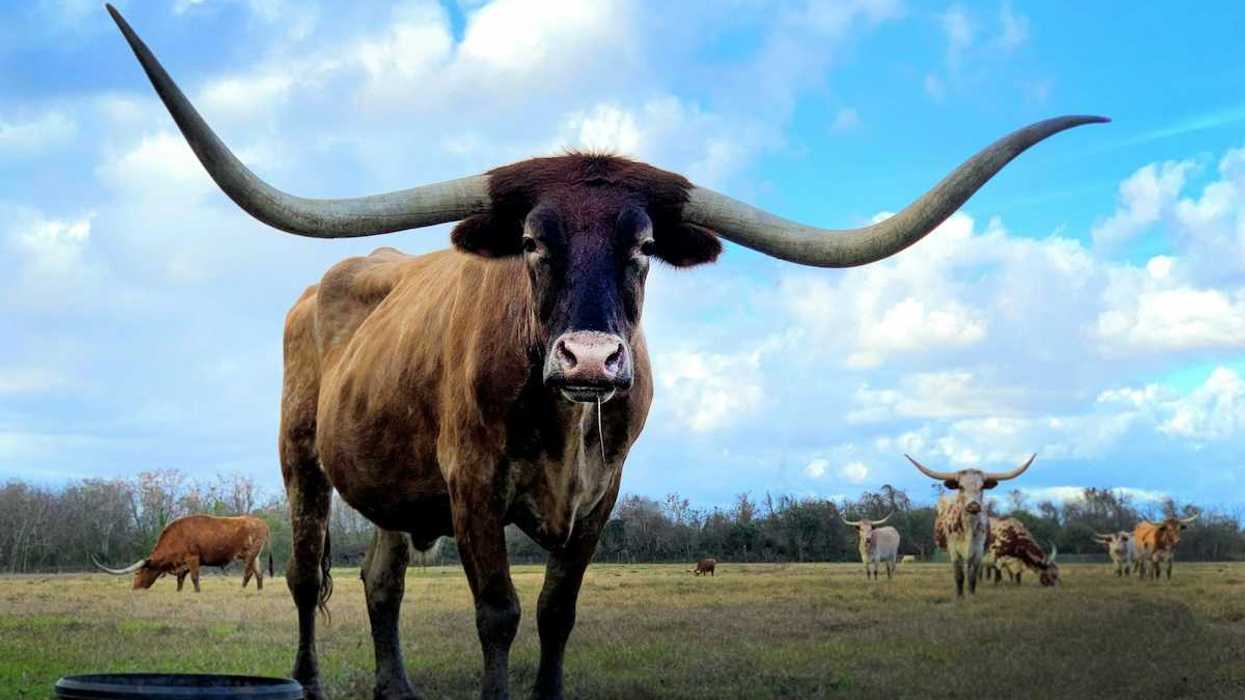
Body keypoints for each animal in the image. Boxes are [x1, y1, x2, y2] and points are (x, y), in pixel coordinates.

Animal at [92, 514, 273, 592]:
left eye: (137, 573)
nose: (134, 589)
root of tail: (261, 522)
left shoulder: (193, 558)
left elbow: (194, 577)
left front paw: (197, 592)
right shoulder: (182, 563)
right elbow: (180, 580)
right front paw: (179, 591)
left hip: (249, 555)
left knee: (248, 572)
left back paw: (241, 590)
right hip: (255, 556)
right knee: (259, 573)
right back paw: (259, 590)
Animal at [908, 454, 1036, 597]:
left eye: (981, 487)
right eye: (961, 486)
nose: (973, 506)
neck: (968, 527)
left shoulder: (978, 551)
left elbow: (972, 575)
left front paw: (971, 595)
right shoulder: (954, 551)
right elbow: (959, 575)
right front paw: (959, 596)